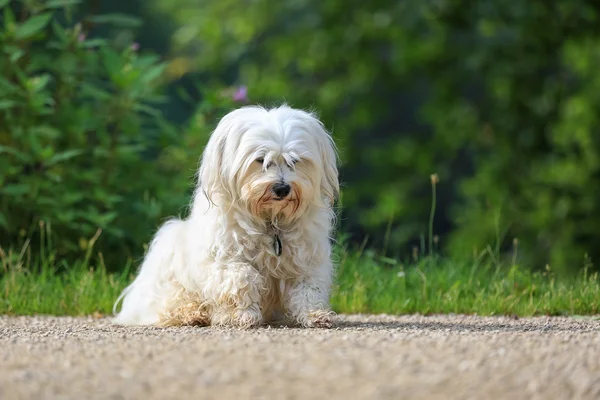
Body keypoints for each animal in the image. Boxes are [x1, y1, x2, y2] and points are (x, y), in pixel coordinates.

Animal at [112, 105, 338, 328]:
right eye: (260, 160)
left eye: (295, 160)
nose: (282, 188)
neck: (269, 219)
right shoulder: (226, 259)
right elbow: (242, 279)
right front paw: (242, 315)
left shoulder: (307, 258)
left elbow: (308, 288)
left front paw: (315, 314)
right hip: (169, 252)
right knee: (167, 305)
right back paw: (191, 314)